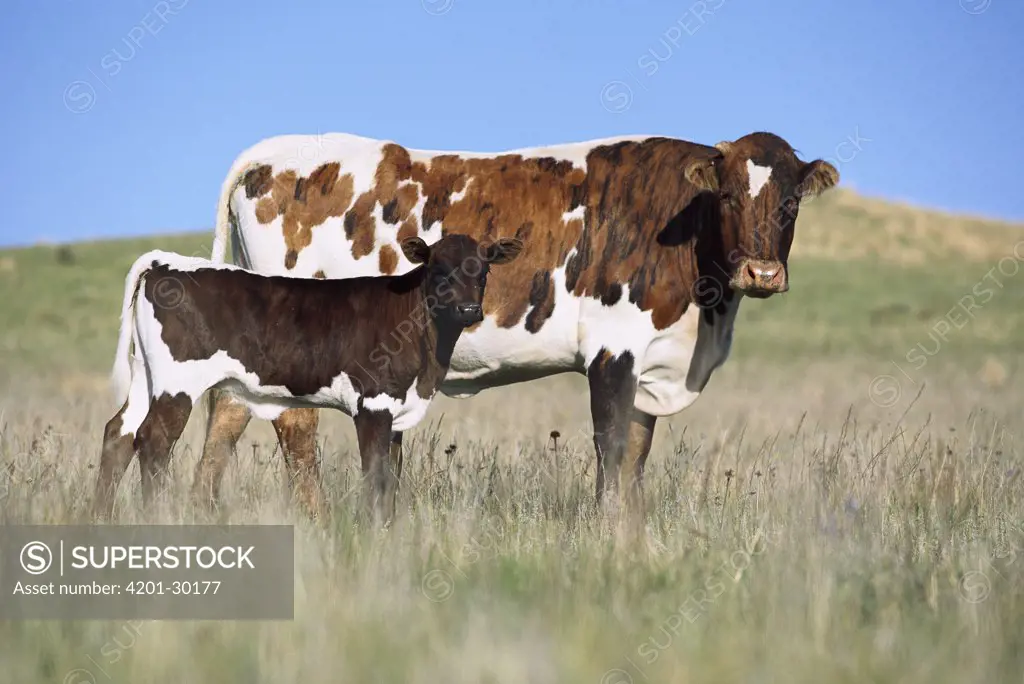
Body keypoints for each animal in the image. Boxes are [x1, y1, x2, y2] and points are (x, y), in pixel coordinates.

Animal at [92, 232, 524, 520]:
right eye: (438, 269)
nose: (469, 310)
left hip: (146, 376)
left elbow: (392, 476)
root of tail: (165, 262)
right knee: (154, 441)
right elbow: (375, 474)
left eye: (483, 270)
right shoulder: (373, 402)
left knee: (120, 432)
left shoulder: (398, 407)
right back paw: (155, 516)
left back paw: (102, 517)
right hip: (177, 382)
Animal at [192, 131, 839, 520]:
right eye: (728, 197)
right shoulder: (613, 350)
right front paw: (608, 536)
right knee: (293, 424)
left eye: (790, 203)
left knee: (229, 409)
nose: (762, 271)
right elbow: (612, 449)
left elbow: (635, 455)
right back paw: (318, 520)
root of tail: (276, 151)